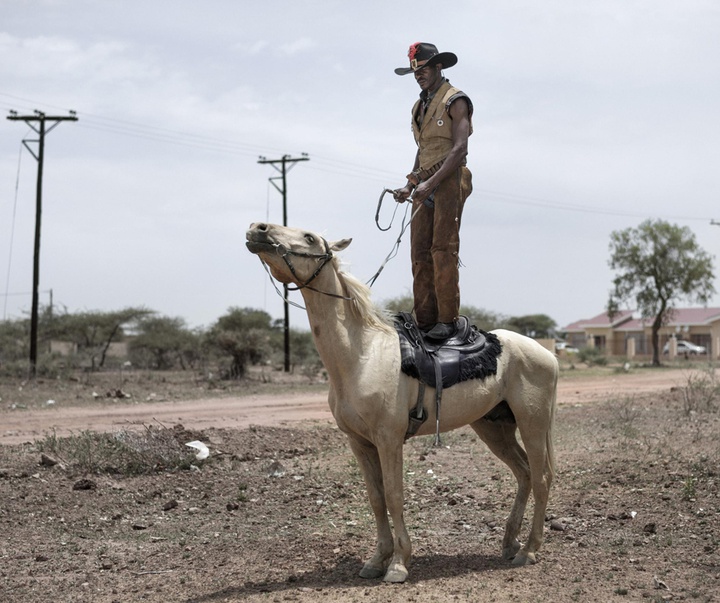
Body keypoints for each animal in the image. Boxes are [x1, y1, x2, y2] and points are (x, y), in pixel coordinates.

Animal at [246, 223, 556, 584]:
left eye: (309, 237)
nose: (257, 229)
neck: (361, 354)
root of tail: (547, 353)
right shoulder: (359, 443)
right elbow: (376, 498)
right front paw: (376, 559)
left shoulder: (389, 439)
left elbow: (395, 496)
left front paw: (398, 563)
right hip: (494, 428)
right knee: (523, 474)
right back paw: (509, 543)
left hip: (532, 424)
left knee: (541, 478)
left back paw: (528, 550)